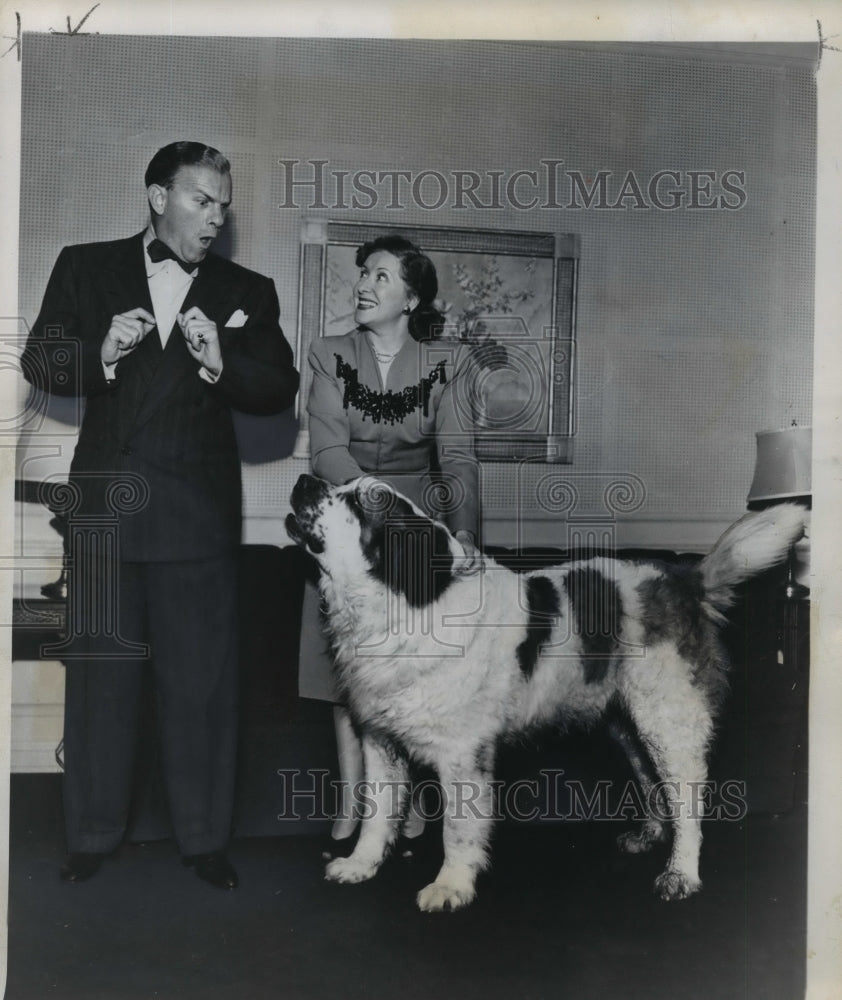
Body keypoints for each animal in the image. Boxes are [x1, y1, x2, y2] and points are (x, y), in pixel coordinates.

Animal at [286, 472, 804, 912]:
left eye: (359, 501)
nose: (304, 479)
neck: (406, 604)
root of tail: (683, 578)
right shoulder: (379, 739)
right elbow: (375, 812)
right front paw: (360, 864)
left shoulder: (462, 754)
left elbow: (457, 827)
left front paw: (451, 885)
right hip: (629, 725)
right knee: (651, 780)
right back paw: (649, 835)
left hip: (667, 718)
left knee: (687, 797)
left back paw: (681, 873)